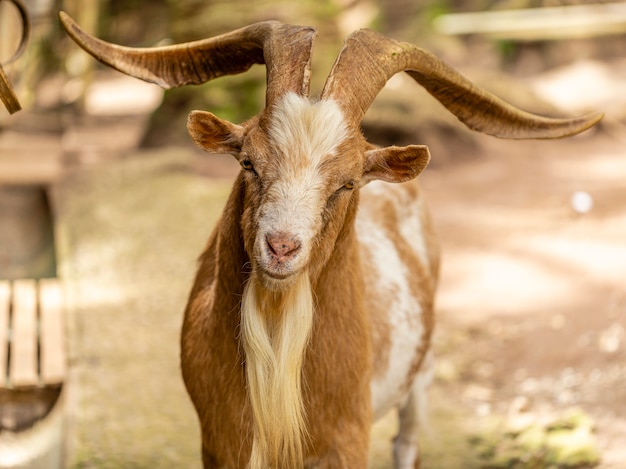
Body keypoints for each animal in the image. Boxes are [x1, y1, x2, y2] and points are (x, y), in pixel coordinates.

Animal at [62, 12, 600, 466]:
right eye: (248, 162)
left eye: (347, 182)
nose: (281, 247)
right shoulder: (219, 442)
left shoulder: (347, 438)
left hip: (422, 372)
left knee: (407, 440)